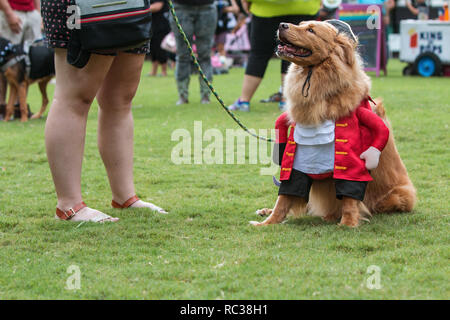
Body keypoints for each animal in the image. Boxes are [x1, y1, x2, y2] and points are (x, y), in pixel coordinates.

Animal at [250, 19, 414, 228]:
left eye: (311, 30)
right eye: (300, 24)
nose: (281, 24)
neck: (313, 78)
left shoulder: (351, 162)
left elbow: (350, 196)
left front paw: (348, 224)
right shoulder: (295, 158)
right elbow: (284, 198)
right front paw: (268, 223)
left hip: (396, 196)